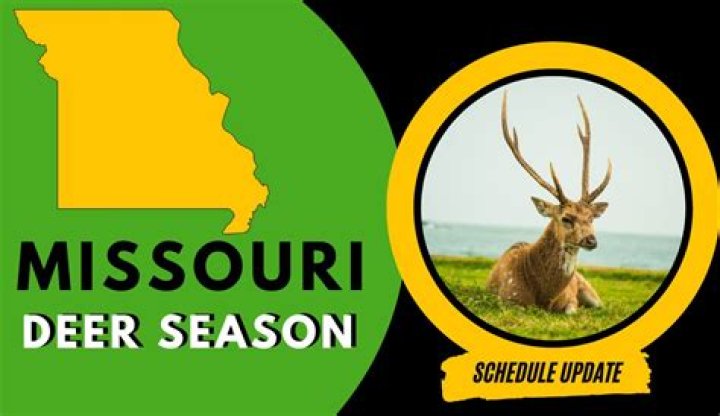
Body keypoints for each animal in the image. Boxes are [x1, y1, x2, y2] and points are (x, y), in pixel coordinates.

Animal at [486, 92, 612, 314]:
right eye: (566, 218)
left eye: (592, 218)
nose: (591, 240)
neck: (544, 297)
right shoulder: (508, 298)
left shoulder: (571, 300)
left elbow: (572, 310)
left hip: (591, 291)